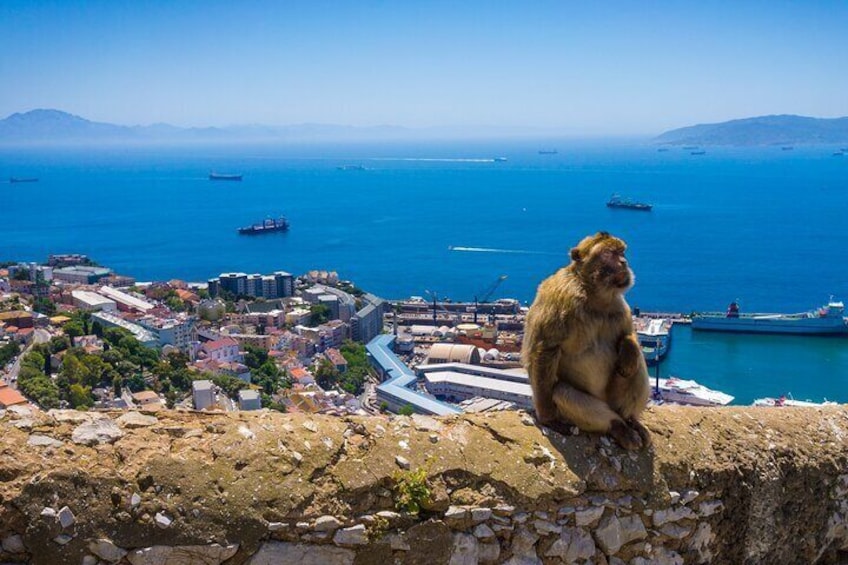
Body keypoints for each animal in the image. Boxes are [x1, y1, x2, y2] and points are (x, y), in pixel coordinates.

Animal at [521, 232, 651, 450]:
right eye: (608, 254)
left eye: (622, 252)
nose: (624, 262)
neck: (594, 294)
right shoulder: (558, 295)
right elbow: (544, 349)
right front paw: (547, 417)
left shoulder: (619, 305)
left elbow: (628, 333)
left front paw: (628, 348)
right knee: (562, 392)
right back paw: (619, 426)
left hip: (613, 398)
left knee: (636, 366)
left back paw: (630, 419)